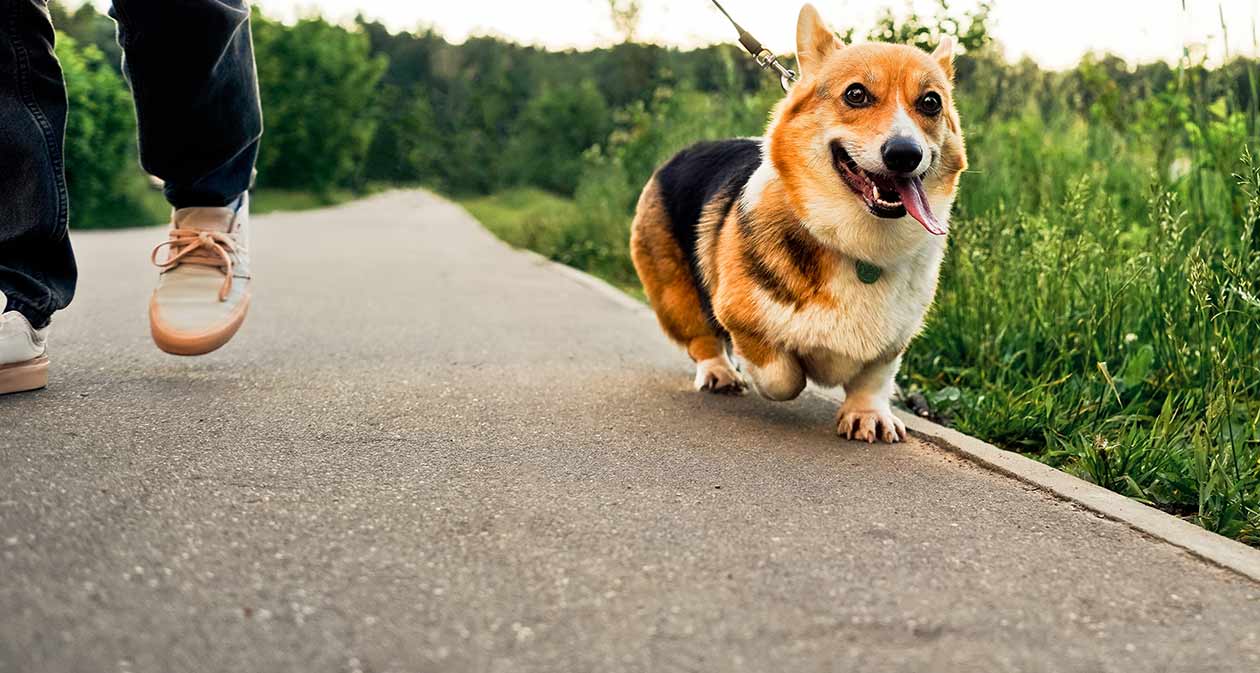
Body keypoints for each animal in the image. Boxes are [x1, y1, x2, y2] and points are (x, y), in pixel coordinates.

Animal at [630, 6, 962, 448]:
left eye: (930, 102)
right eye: (856, 94)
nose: (905, 153)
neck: (859, 246)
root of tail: (684, 150)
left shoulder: (894, 339)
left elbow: (875, 377)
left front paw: (867, 415)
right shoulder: (738, 314)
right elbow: (782, 375)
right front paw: (791, 367)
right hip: (672, 290)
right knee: (702, 337)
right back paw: (721, 372)